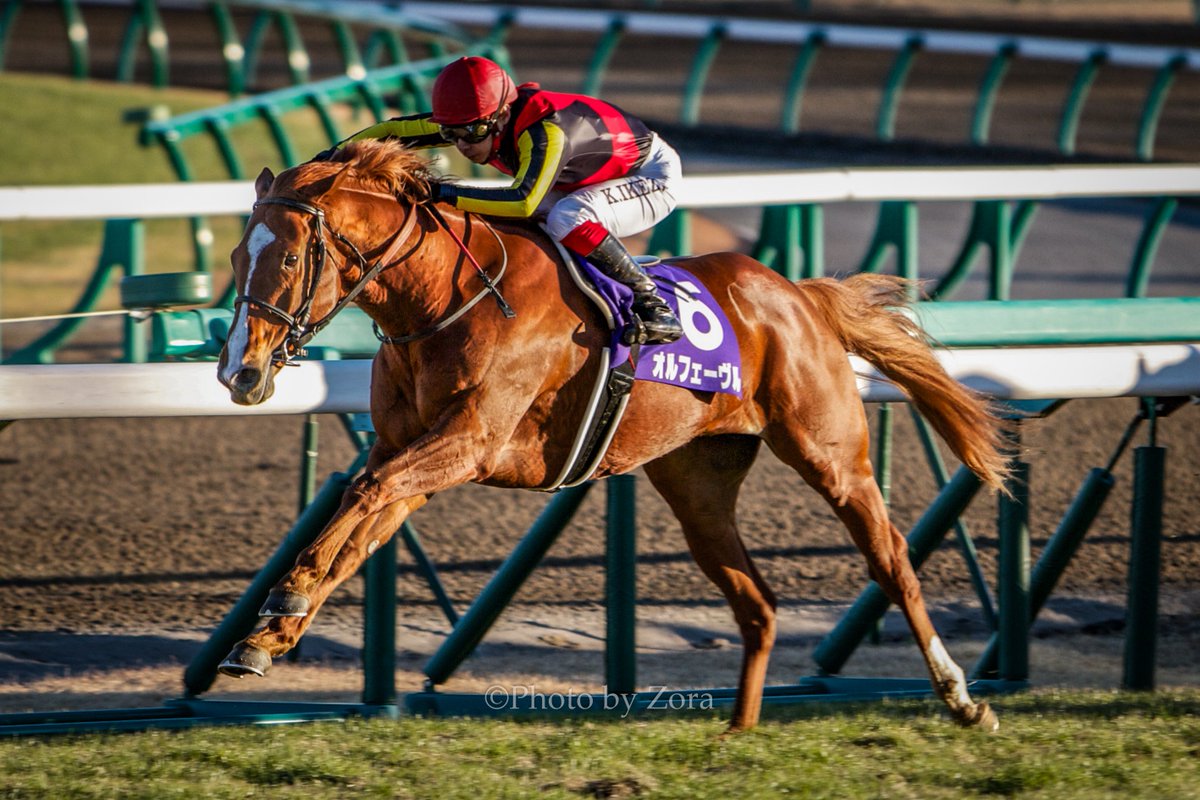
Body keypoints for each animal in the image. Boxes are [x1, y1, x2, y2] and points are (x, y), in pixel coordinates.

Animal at [216, 138, 1007, 732]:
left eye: (290, 258)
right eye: (233, 259)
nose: (239, 372)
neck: (445, 299)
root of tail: (798, 295)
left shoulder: (469, 444)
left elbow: (363, 491)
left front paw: (284, 602)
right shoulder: (414, 450)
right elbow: (362, 519)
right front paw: (266, 636)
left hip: (830, 453)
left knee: (892, 559)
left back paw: (963, 699)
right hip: (697, 488)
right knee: (756, 602)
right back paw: (738, 731)